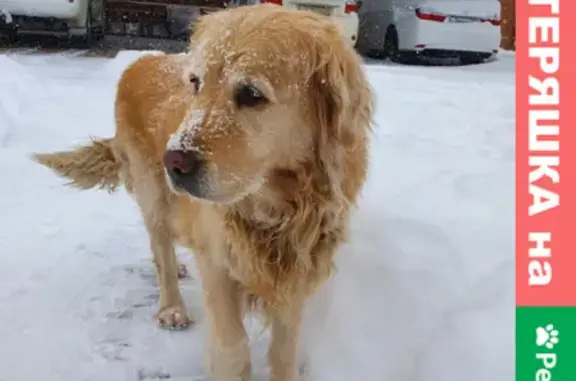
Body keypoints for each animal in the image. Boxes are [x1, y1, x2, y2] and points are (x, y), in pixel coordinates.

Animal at [32, 3, 374, 380]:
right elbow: (233, 347)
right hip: (153, 194)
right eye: (195, 83)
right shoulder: (218, 262)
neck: (278, 207)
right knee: (161, 251)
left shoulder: (296, 273)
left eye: (252, 94)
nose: (173, 161)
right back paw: (172, 306)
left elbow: (284, 349)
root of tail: (140, 61)